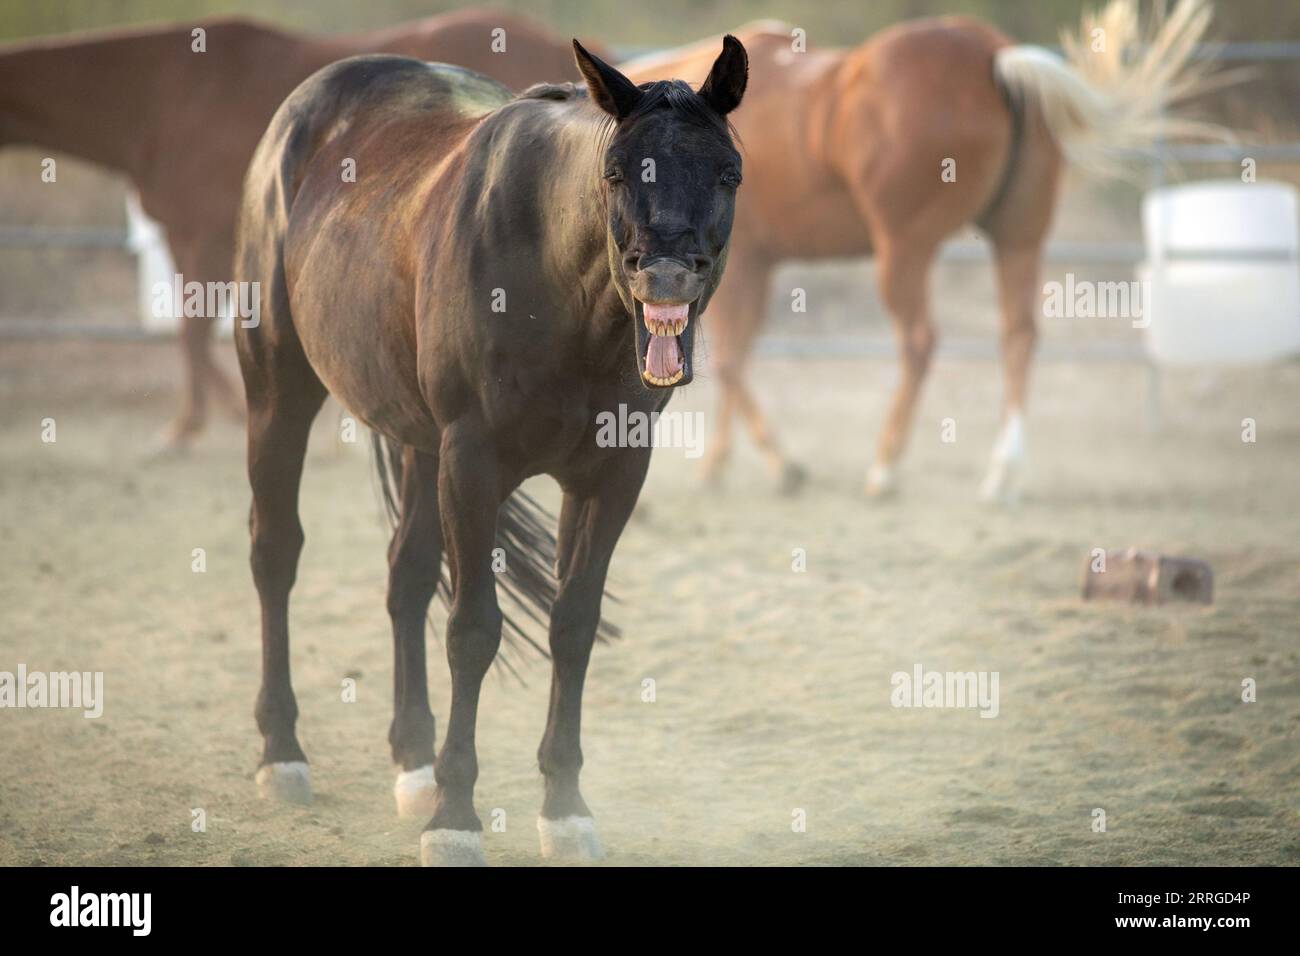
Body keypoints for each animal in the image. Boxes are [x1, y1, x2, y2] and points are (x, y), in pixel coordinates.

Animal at [228, 39, 748, 868]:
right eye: (614, 173)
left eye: (729, 172)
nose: (666, 280)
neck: (558, 280)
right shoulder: (472, 464)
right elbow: (473, 631)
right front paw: (456, 820)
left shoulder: (610, 475)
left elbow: (572, 625)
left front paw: (564, 810)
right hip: (279, 389)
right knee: (275, 552)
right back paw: (283, 754)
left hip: (418, 442)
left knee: (405, 575)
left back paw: (412, 767)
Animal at [624, 0, 1222, 504]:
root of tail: (994, 55)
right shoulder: (754, 267)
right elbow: (736, 356)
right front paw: (722, 464)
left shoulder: (738, 264)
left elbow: (726, 360)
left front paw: (773, 464)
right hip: (1018, 241)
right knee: (1019, 337)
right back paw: (1003, 472)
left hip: (904, 254)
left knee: (918, 343)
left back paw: (885, 467)